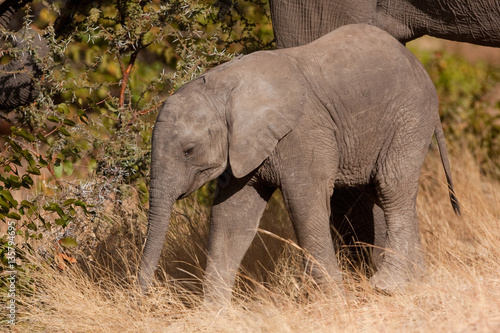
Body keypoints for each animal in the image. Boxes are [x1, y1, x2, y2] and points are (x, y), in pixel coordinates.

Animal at [139, 24, 458, 304]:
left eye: (189, 151)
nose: (144, 295)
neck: (222, 86)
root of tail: (419, 67)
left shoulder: (302, 134)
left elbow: (305, 206)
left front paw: (335, 304)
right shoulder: (243, 147)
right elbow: (232, 217)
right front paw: (214, 314)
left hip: (409, 116)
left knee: (391, 187)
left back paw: (387, 286)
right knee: (386, 192)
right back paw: (416, 283)